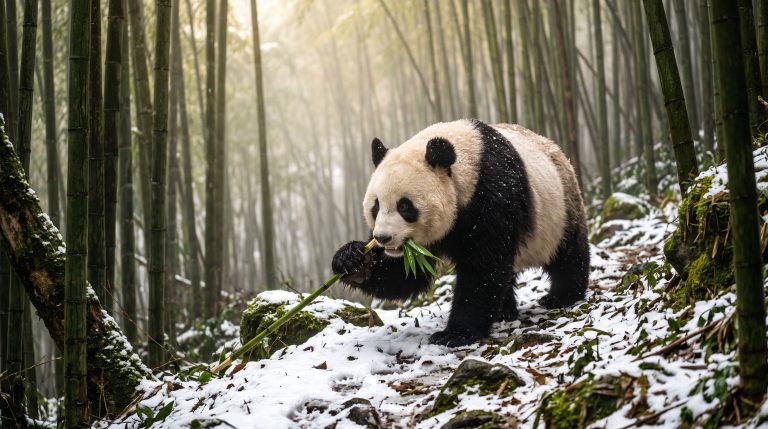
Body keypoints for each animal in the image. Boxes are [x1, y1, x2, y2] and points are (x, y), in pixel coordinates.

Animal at [331, 119, 590, 347]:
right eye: (375, 206)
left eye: (404, 206)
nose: (383, 239)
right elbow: (405, 274)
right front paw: (352, 259)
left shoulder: (492, 196)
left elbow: (482, 268)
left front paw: (454, 335)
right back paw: (504, 311)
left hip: (560, 208)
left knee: (568, 253)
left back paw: (561, 296)